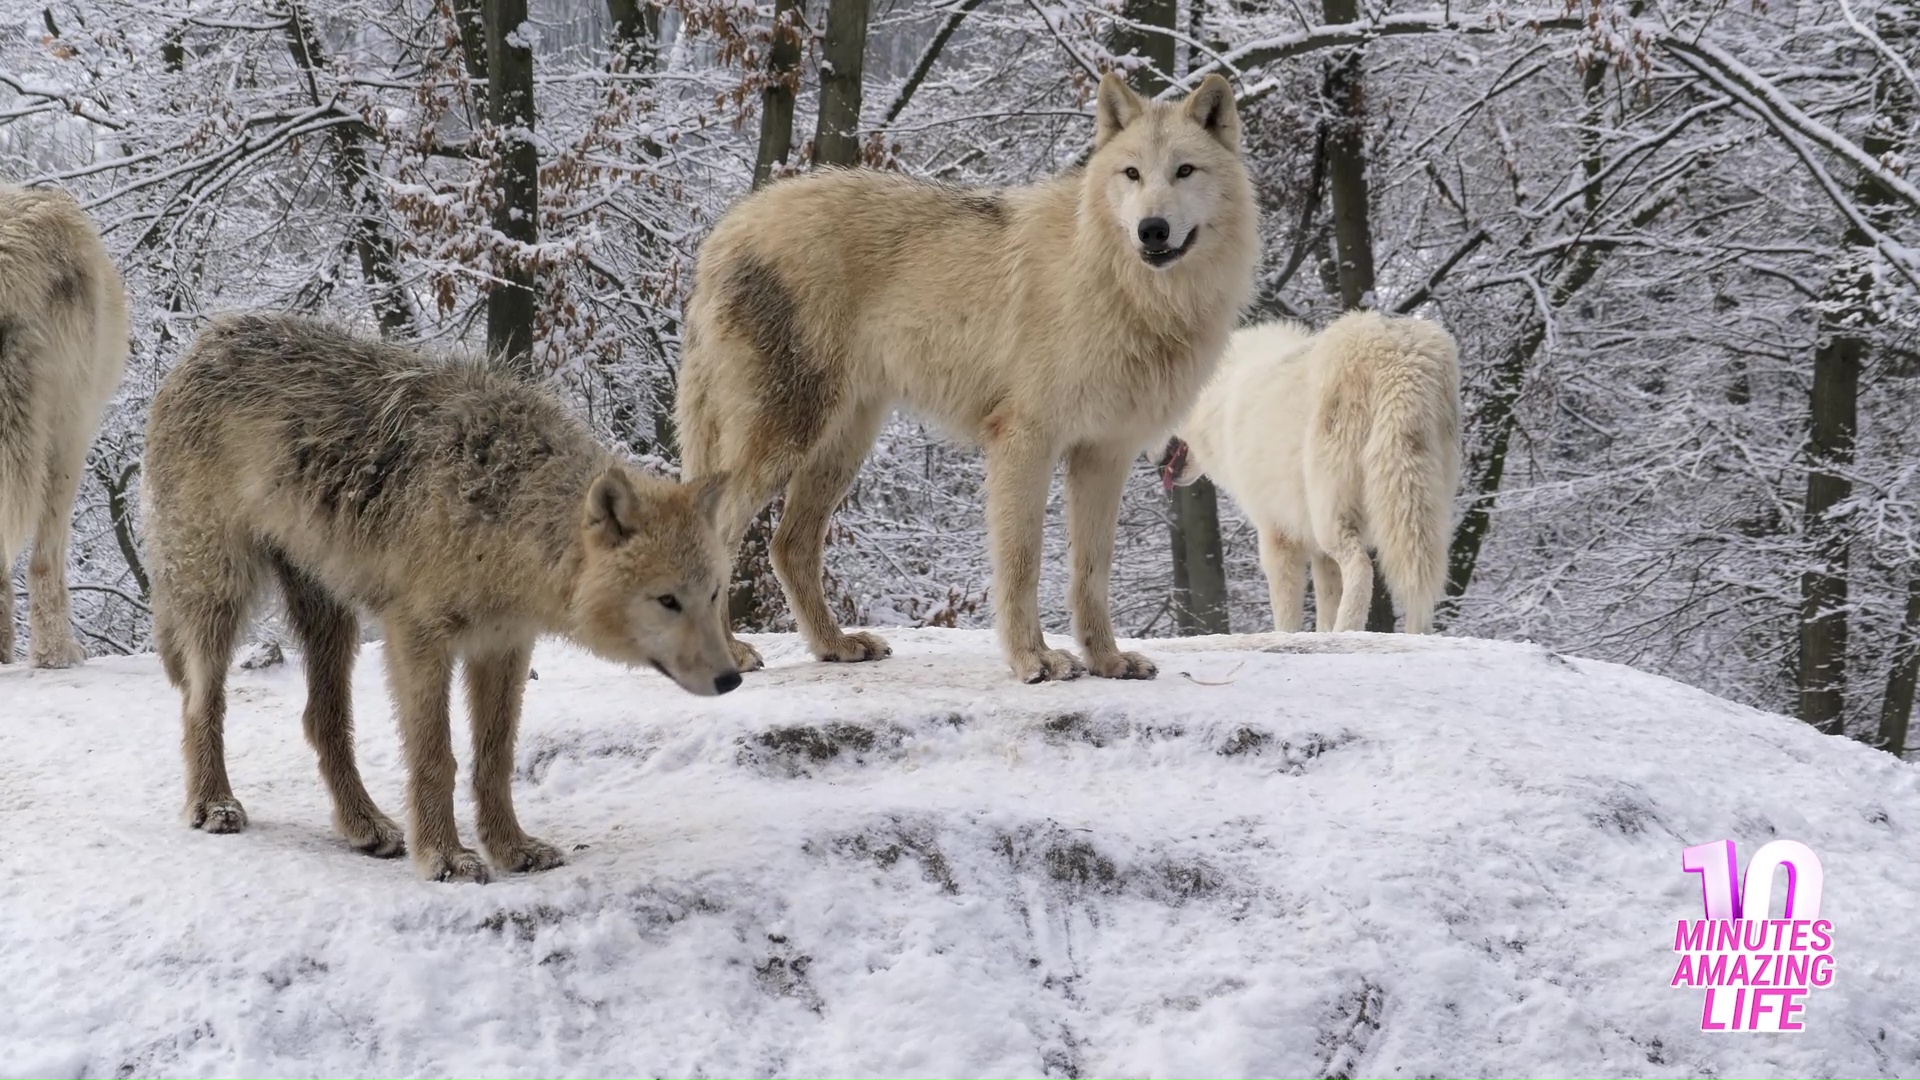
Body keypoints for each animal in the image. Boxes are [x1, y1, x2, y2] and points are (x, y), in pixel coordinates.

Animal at [143, 314, 739, 882]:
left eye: (713, 595)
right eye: (667, 601)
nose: (731, 679)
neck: (506, 511)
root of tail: (208, 338)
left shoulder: (504, 646)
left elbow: (494, 758)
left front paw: (512, 848)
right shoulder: (417, 637)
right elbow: (436, 757)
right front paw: (446, 857)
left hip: (333, 618)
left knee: (321, 720)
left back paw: (364, 824)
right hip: (220, 593)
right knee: (201, 700)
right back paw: (214, 804)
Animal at [677, 72, 1259, 683]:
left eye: (1185, 171)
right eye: (1132, 174)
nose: (1152, 230)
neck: (1124, 289)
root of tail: (727, 229)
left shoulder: (1104, 455)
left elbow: (1092, 571)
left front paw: (1106, 660)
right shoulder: (1023, 442)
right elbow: (1023, 563)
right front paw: (1034, 659)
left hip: (840, 448)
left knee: (789, 546)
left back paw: (836, 645)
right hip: (786, 442)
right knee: (720, 536)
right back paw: (730, 653)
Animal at [1161, 311, 1461, 634]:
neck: (1221, 396)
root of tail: (1396, 354)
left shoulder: (1276, 535)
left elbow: (1286, 615)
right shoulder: (1318, 554)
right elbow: (1325, 607)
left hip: (1331, 516)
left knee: (1362, 569)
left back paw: (1347, 631)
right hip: (1422, 510)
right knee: (1420, 584)